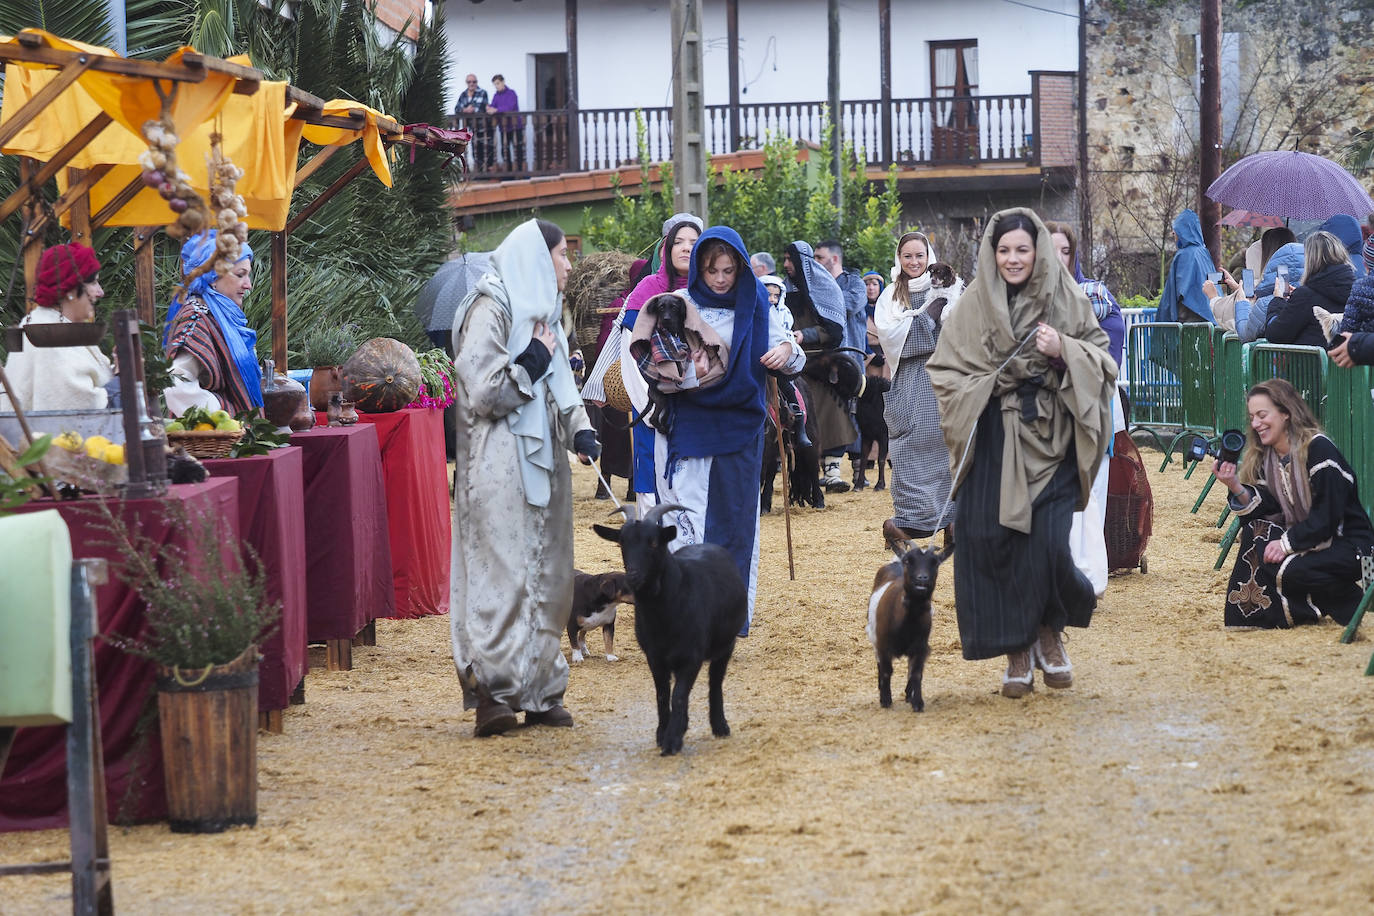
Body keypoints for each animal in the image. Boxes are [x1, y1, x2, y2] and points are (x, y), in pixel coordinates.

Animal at [588, 505, 747, 758]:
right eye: (622, 543)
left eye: (653, 543)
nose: (633, 576)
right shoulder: (655, 657)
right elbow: (663, 695)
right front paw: (664, 735)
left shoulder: (691, 657)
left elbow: (679, 695)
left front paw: (672, 741)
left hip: (726, 645)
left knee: (715, 682)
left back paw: (720, 726)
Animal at [868, 541, 945, 714]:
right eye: (909, 561)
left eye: (935, 562)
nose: (922, 579)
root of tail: (895, 562)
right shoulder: (882, 644)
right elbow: (886, 671)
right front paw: (885, 700)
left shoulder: (921, 647)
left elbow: (915, 673)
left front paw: (916, 701)